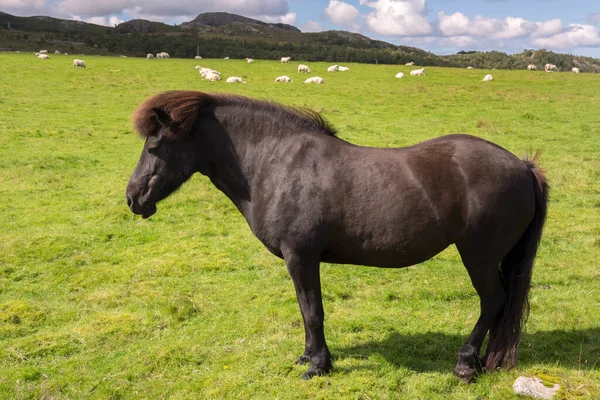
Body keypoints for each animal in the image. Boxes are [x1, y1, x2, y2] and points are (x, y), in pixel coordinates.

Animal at [126, 90, 548, 382]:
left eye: (155, 145)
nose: (132, 198)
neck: (277, 163)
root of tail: (522, 166)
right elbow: (304, 309)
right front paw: (307, 356)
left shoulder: (301, 256)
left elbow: (313, 311)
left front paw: (318, 366)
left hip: (478, 256)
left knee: (493, 302)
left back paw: (465, 363)